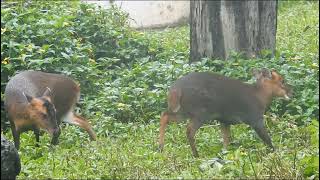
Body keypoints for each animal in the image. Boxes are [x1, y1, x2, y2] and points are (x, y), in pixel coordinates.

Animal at [158, 68, 292, 157]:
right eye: (282, 80)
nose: (291, 92)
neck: (260, 96)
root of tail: (175, 90)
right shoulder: (255, 119)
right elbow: (267, 139)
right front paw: (275, 153)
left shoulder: (224, 121)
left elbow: (226, 140)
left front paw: (224, 155)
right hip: (200, 113)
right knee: (189, 130)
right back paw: (196, 154)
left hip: (183, 110)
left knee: (164, 115)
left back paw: (161, 147)